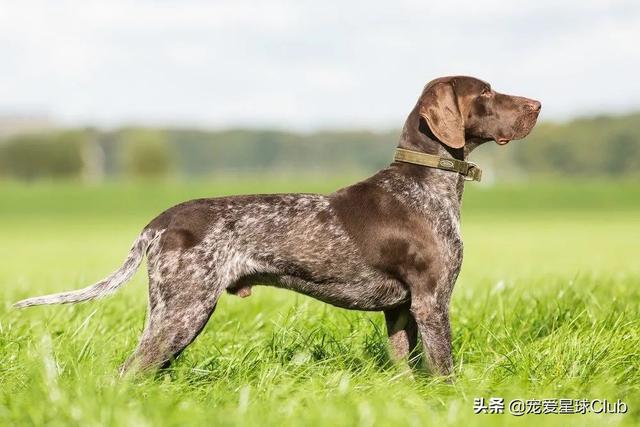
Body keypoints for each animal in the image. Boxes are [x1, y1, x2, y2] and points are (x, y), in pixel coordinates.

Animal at [13, 77, 540, 378]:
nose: (537, 104)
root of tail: (160, 222)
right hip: (183, 311)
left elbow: (407, 372)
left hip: (173, 314)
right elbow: (445, 369)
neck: (426, 184)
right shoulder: (432, 301)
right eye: (486, 92)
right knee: (128, 372)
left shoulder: (400, 310)